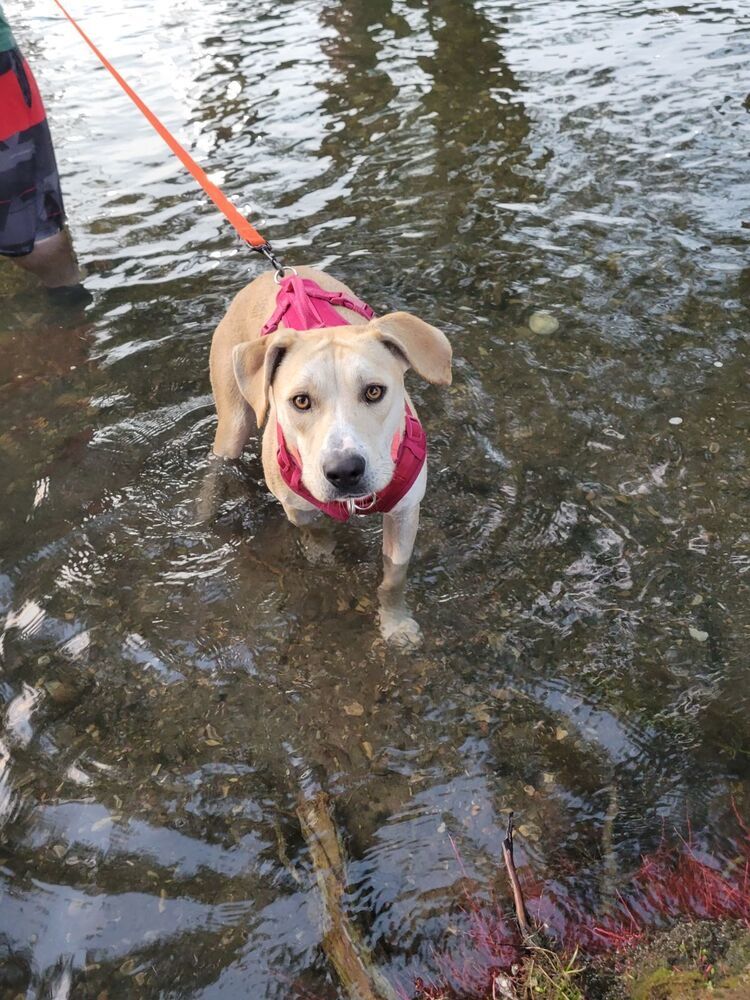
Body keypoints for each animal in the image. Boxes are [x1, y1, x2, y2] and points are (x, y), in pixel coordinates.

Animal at [209, 266, 452, 644]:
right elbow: (316, 533)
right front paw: (320, 555)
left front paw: (396, 624)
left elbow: (393, 579)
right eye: (301, 401)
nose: (345, 471)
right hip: (232, 424)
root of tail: (275, 274)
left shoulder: (405, 513)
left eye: (374, 392)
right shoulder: (297, 507)